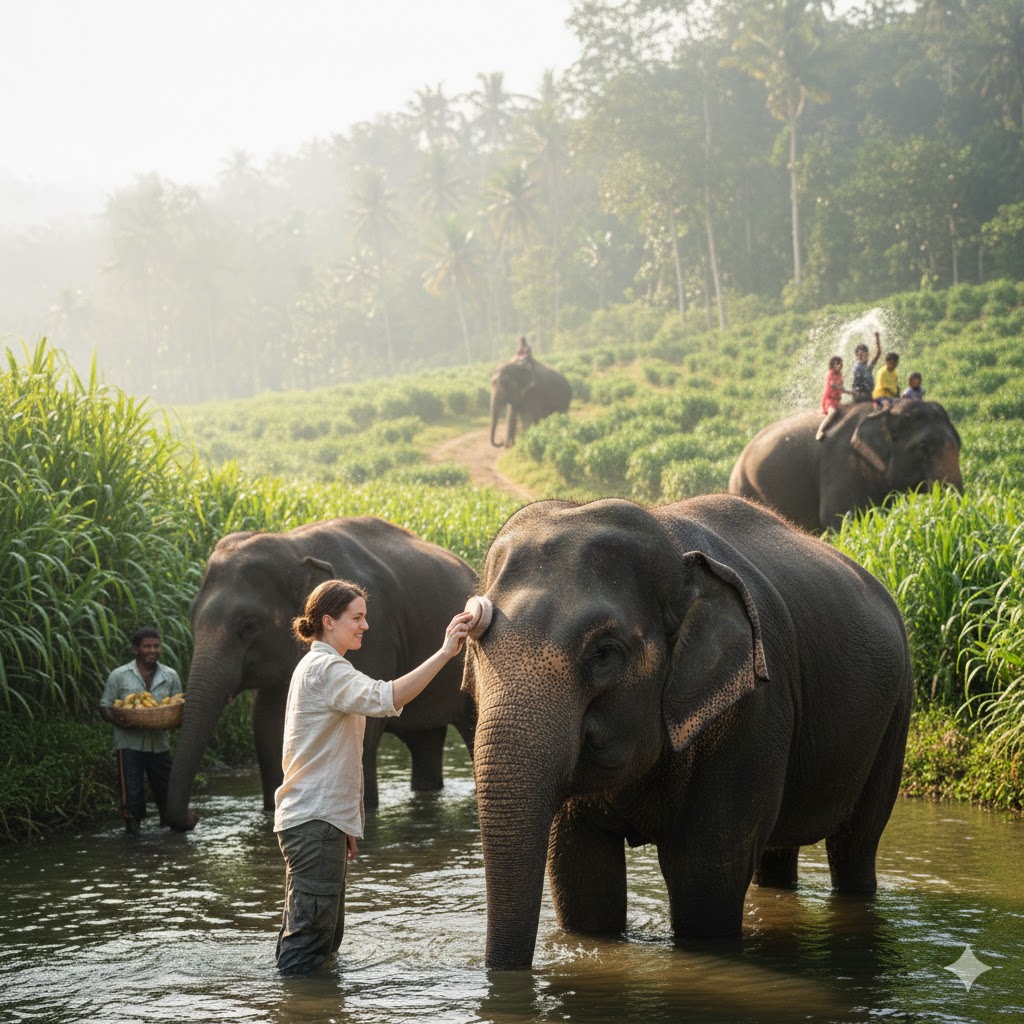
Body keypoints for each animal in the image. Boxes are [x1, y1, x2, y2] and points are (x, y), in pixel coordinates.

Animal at [163, 516, 477, 831]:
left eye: (248, 626)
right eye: (191, 616)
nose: (193, 816)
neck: (293, 546)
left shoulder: (374, 634)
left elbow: (365, 724)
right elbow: (266, 725)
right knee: (425, 740)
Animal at [462, 494, 912, 970]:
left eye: (604, 654)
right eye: (475, 643)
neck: (672, 545)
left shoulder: (753, 713)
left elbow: (705, 875)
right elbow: (580, 873)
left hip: (897, 711)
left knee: (856, 843)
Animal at [728, 399, 962, 532]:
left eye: (959, 444)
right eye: (923, 447)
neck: (883, 412)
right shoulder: (841, 464)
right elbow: (841, 520)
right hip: (745, 486)